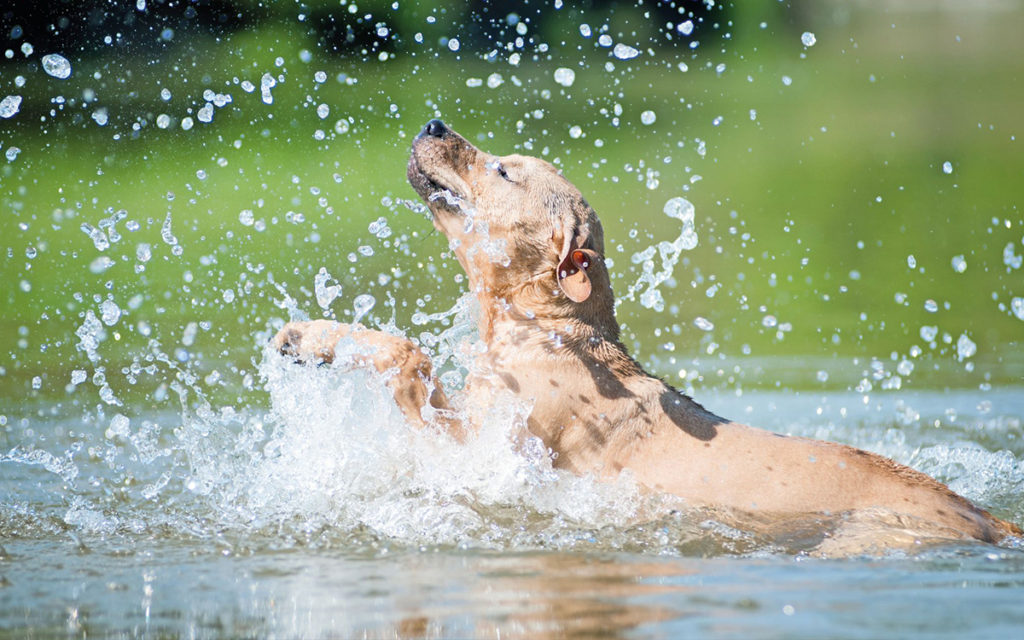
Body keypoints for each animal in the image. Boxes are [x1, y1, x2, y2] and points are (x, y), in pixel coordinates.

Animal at [276, 122, 1019, 552]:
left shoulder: (478, 448)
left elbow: (409, 354)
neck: (549, 332)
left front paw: (313, 338)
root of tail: (989, 518)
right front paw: (309, 336)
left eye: (505, 171)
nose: (435, 123)